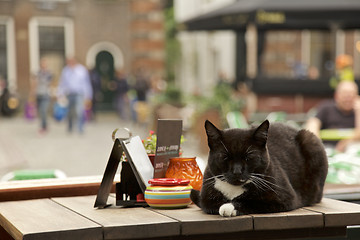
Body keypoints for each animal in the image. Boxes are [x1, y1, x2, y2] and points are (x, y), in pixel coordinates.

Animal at [191, 120, 330, 218]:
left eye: (249, 157)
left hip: (311, 141)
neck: (233, 189)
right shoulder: (206, 196)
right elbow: (210, 203)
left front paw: (229, 207)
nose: (237, 171)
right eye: (225, 157)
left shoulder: (285, 198)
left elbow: (253, 201)